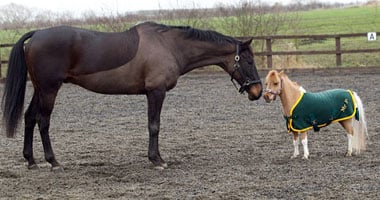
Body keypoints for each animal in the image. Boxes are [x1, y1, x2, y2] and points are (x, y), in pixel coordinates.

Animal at [2, 22, 262, 172]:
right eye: (249, 61)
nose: (258, 91)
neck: (169, 45)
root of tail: (37, 34)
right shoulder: (156, 92)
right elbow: (154, 125)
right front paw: (157, 160)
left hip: (40, 89)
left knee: (29, 118)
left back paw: (31, 161)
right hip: (49, 89)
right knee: (43, 121)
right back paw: (53, 161)